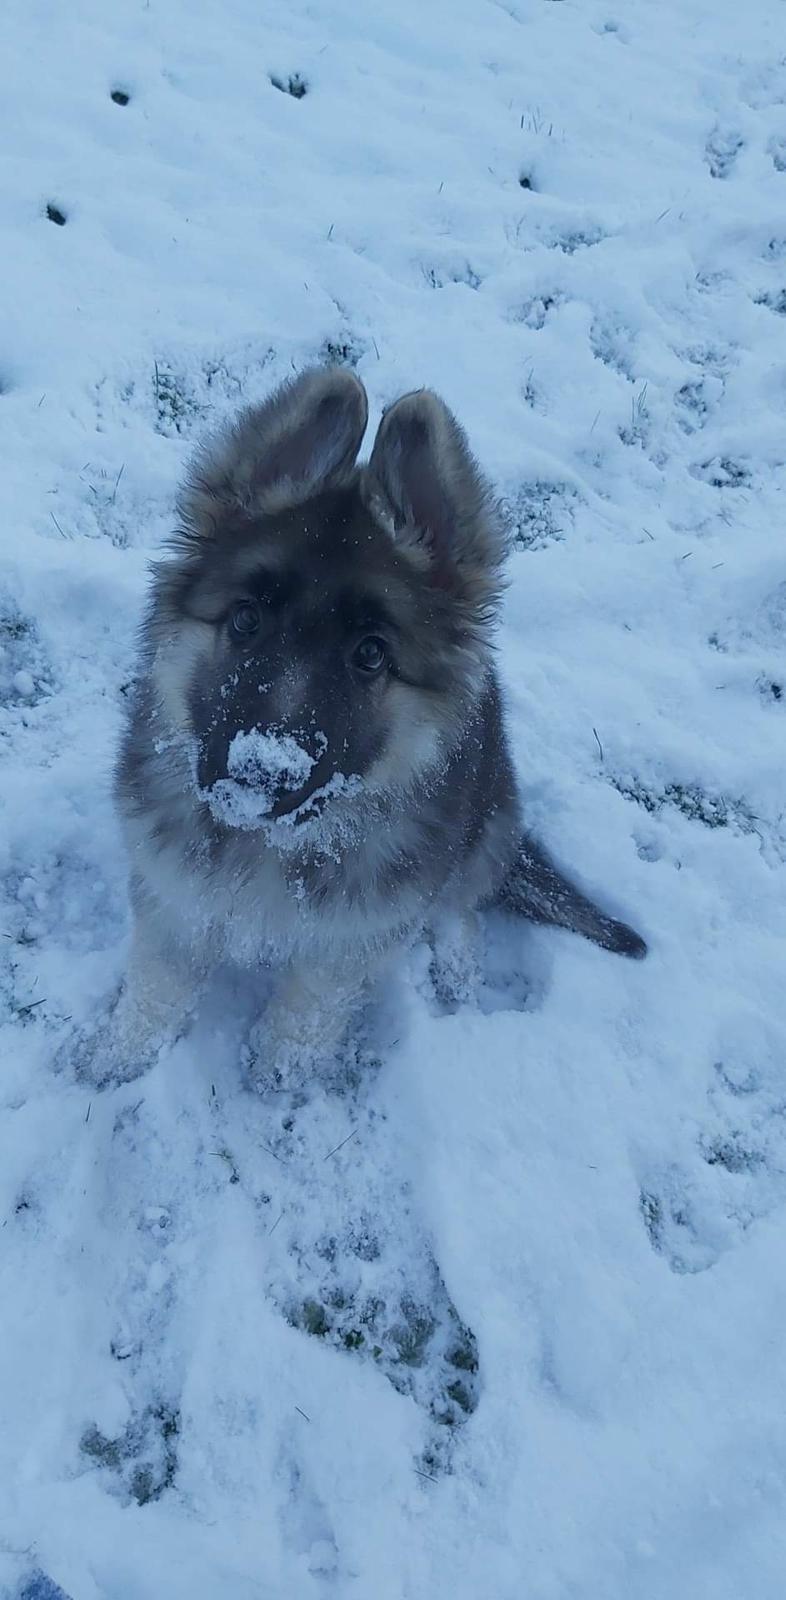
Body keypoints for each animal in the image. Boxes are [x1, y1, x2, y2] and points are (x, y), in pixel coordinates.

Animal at [78, 363, 646, 1088]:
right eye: (245, 619)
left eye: (371, 654)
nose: (258, 774)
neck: (275, 849)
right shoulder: (176, 899)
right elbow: (157, 990)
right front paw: (119, 1061)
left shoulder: (352, 942)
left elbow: (304, 1019)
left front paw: (276, 1086)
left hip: (489, 809)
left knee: (464, 900)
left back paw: (457, 968)